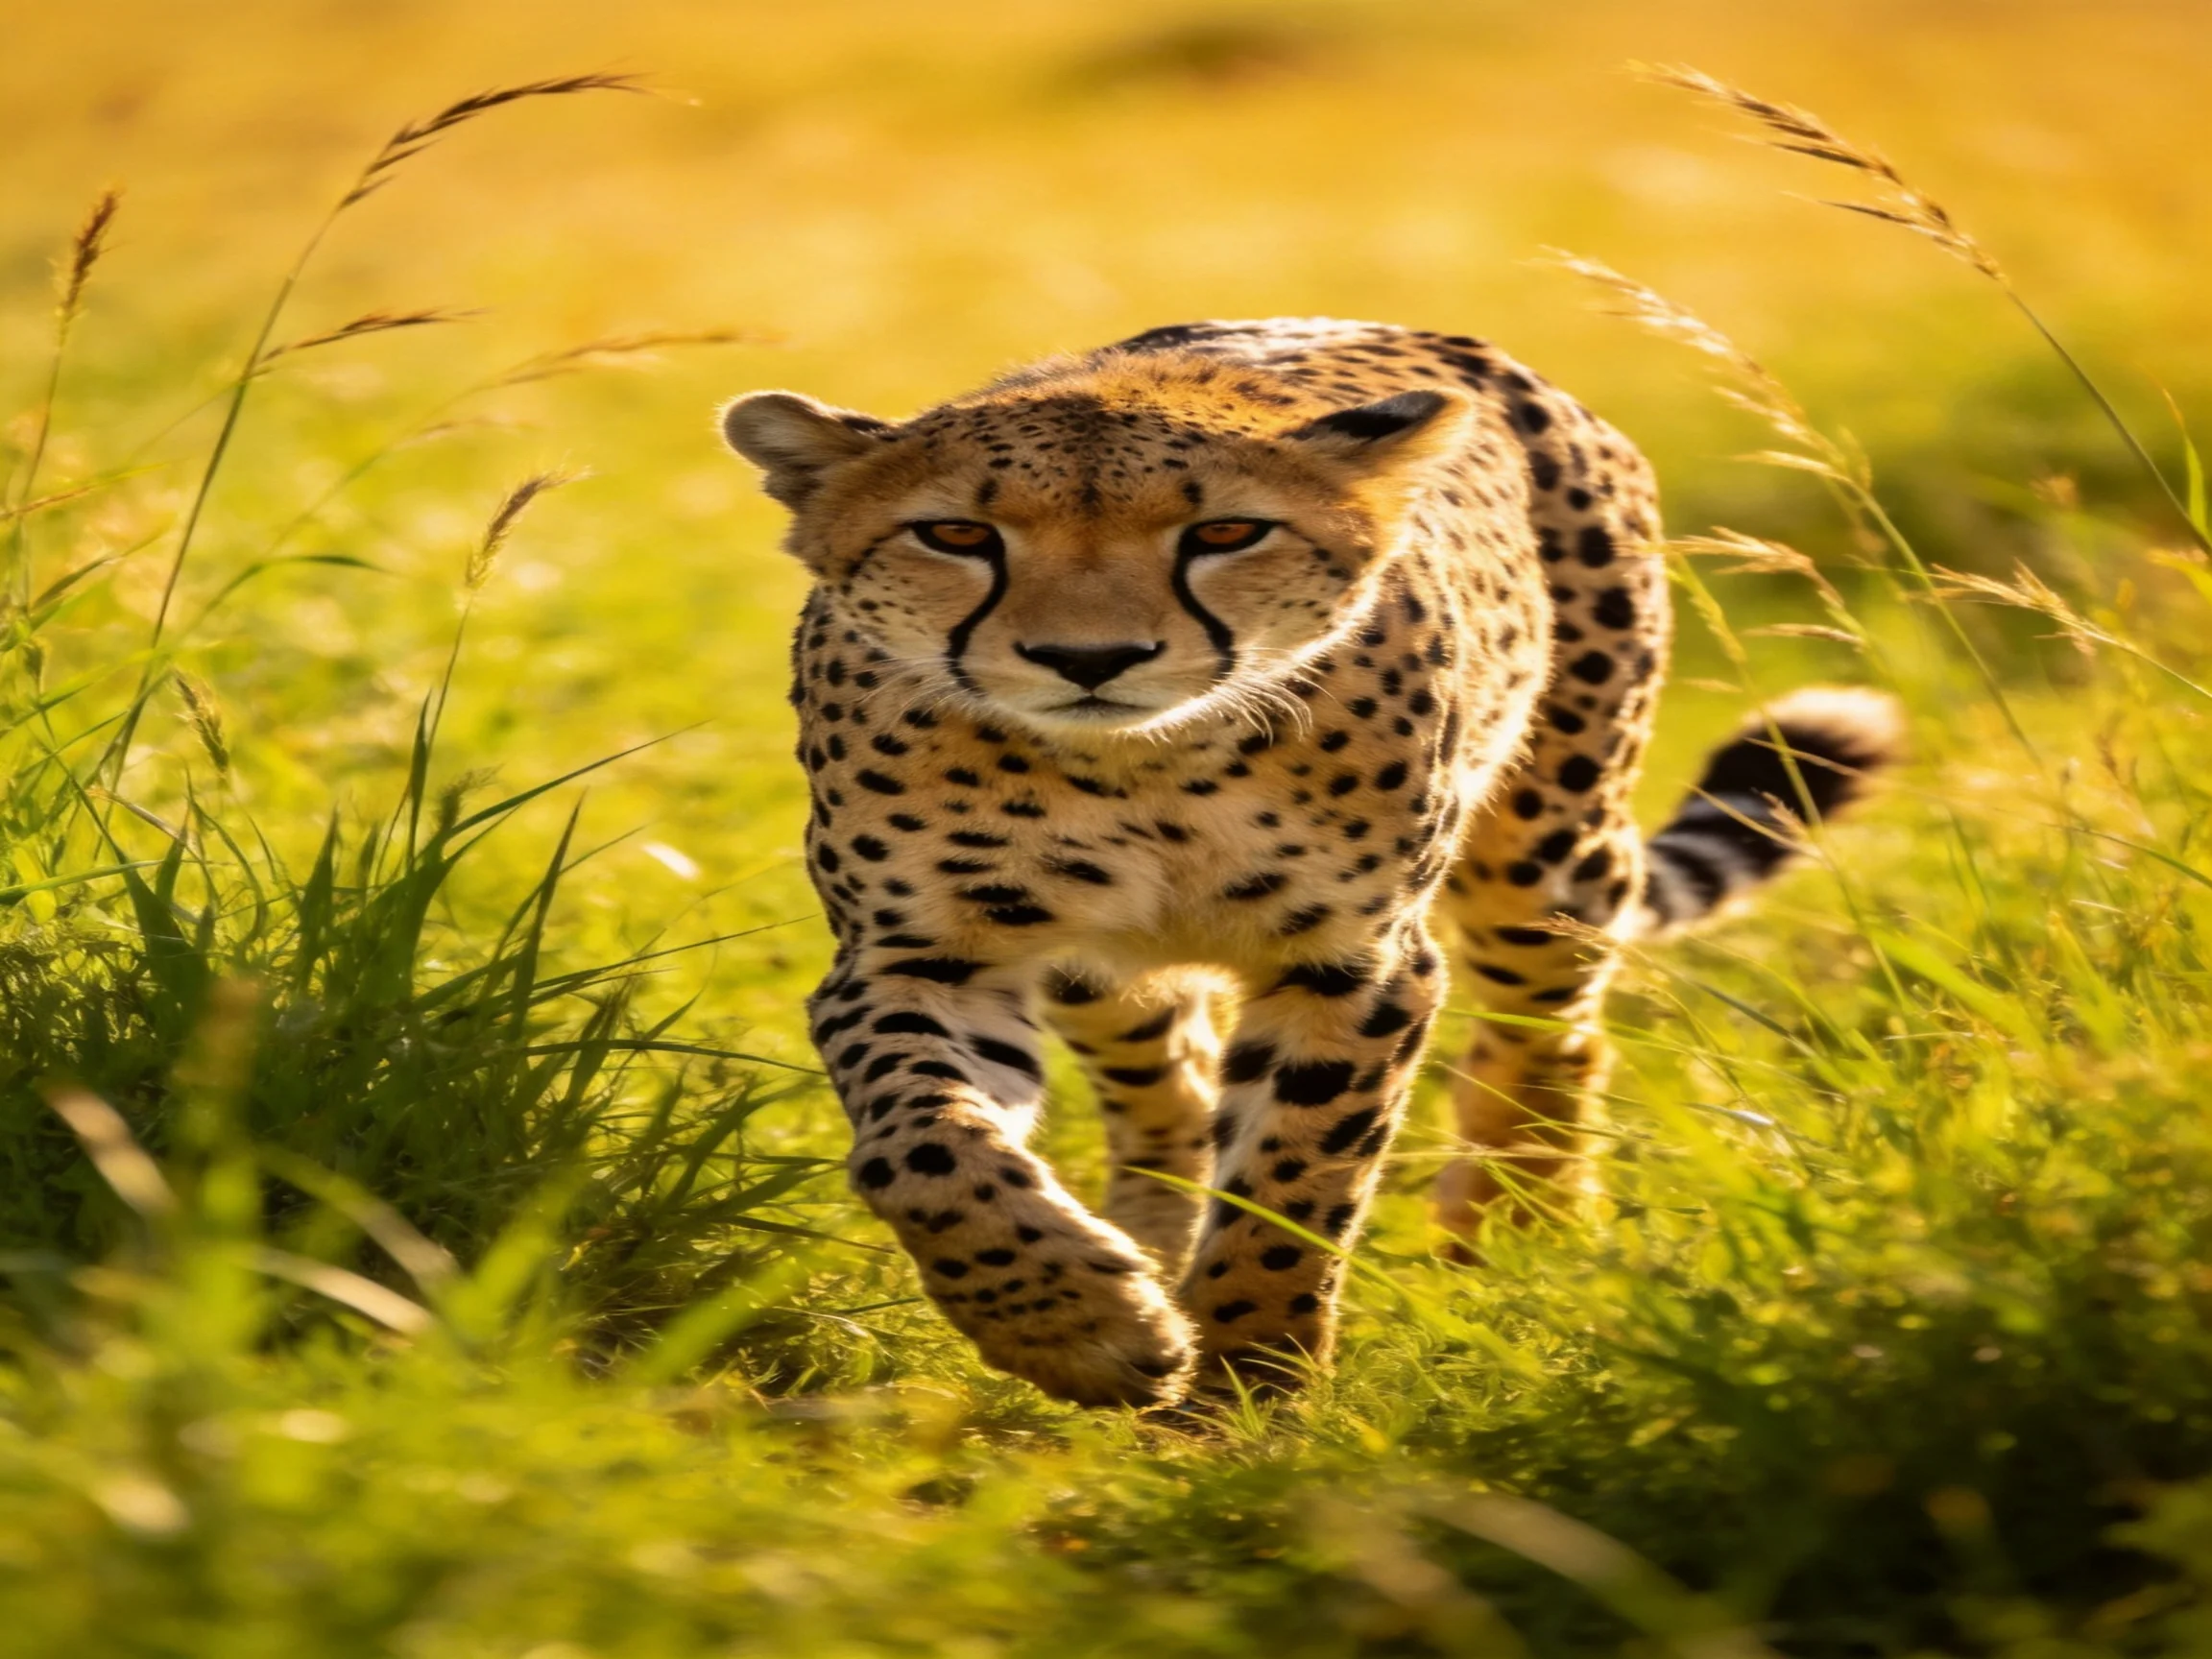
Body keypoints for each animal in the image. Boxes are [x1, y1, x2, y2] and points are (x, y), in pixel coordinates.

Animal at [718, 316, 1900, 1407]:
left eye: (1227, 532)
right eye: (957, 533)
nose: (1089, 658)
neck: (1141, 769)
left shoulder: (1353, 962)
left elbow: (1293, 1181)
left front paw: (1249, 1385)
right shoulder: (921, 958)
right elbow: (924, 1150)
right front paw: (1080, 1323)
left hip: (1550, 853)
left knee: (1549, 1032)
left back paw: (1516, 1229)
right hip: (1102, 974)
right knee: (1167, 1086)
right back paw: (1153, 1235)